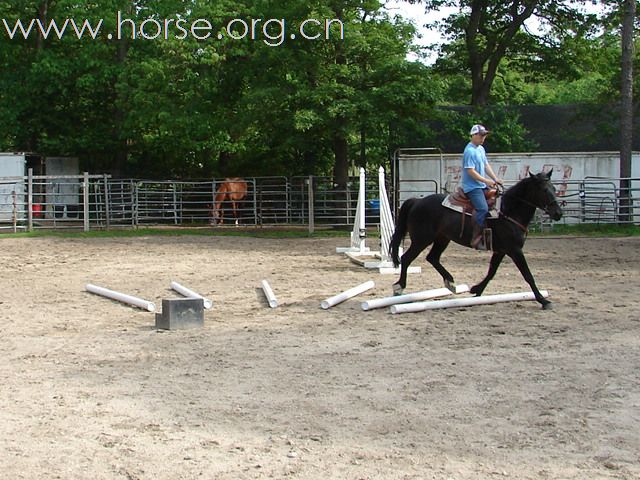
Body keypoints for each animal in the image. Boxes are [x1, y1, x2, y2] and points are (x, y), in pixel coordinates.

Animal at [388, 171, 564, 310]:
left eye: (554, 189)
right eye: (544, 190)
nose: (558, 213)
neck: (509, 212)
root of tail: (417, 201)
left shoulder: (501, 251)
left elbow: (491, 272)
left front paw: (476, 290)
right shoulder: (515, 250)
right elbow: (528, 275)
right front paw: (543, 300)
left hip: (442, 239)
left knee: (432, 258)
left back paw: (450, 282)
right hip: (421, 239)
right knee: (406, 258)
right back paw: (399, 287)